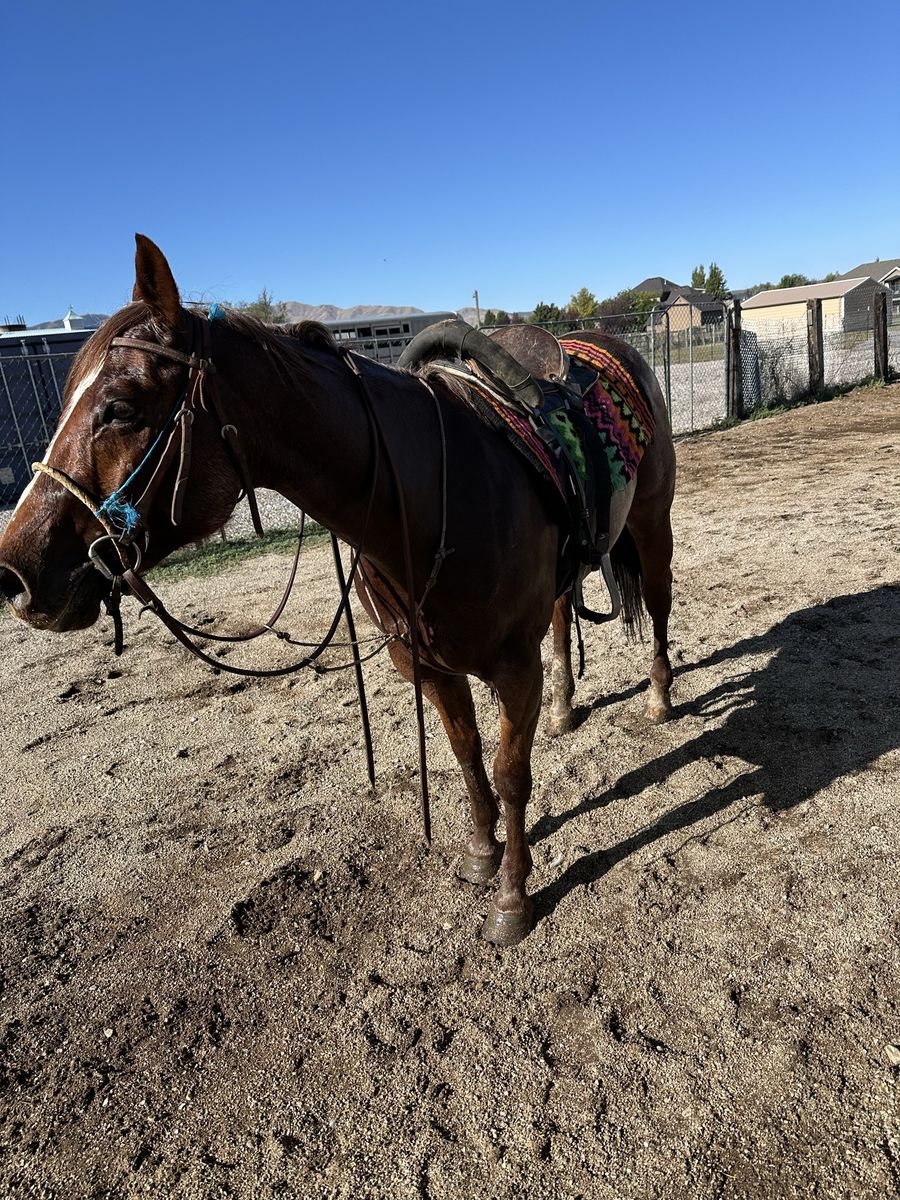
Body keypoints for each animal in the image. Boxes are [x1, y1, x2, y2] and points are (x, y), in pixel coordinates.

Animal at [0, 235, 676, 945]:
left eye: (121, 407)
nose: (14, 572)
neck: (434, 498)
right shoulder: (428, 667)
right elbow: (466, 755)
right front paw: (480, 856)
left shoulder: (514, 669)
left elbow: (510, 774)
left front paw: (513, 899)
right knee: (562, 614)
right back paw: (567, 707)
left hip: (652, 526)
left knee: (658, 605)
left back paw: (660, 697)